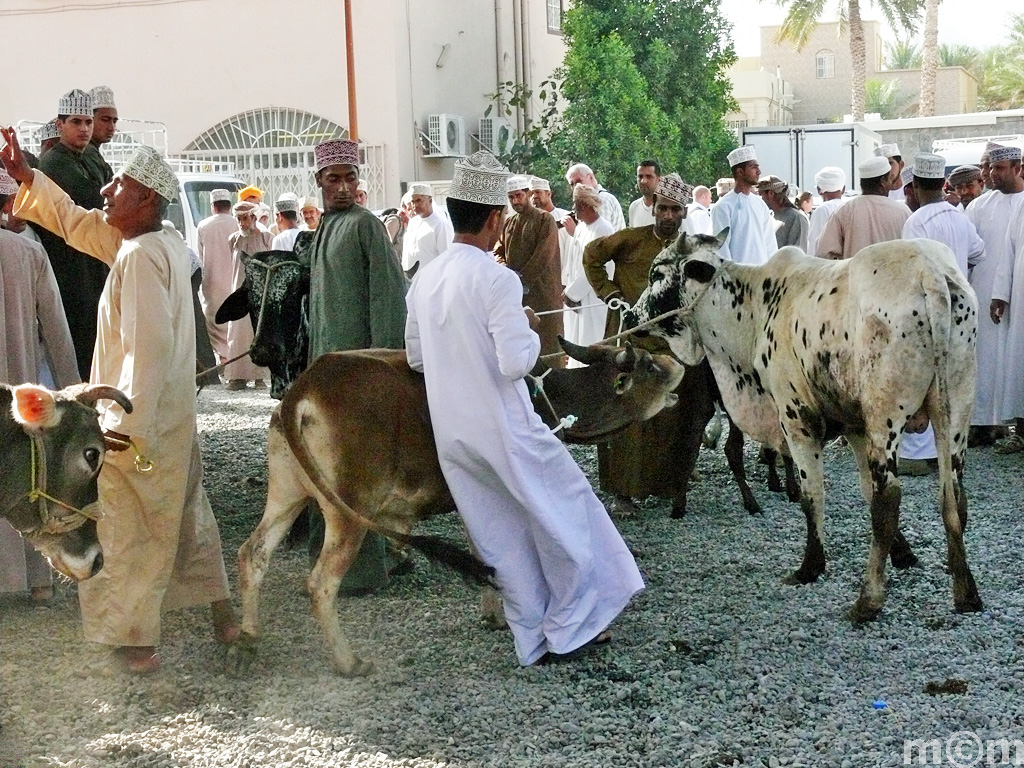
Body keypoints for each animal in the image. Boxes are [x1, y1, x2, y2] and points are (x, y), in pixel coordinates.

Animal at [622, 234, 983, 626]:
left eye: (657, 273)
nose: (629, 315)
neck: (755, 306)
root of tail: (928, 272)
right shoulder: (853, 424)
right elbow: (864, 490)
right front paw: (904, 555)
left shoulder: (797, 419)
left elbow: (813, 497)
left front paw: (811, 566)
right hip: (955, 408)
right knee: (953, 495)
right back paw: (966, 592)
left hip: (885, 415)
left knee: (889, 499)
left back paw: (868, 600)